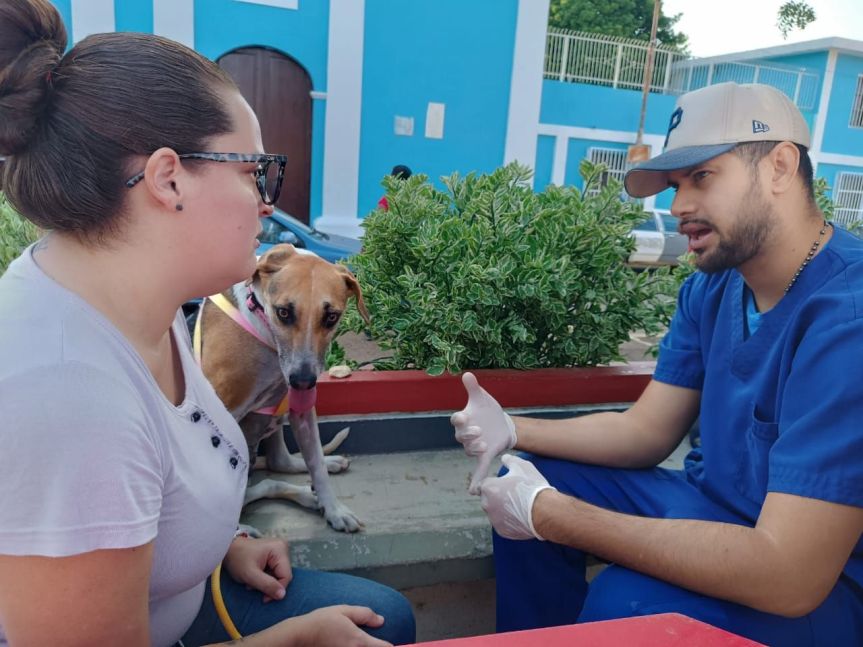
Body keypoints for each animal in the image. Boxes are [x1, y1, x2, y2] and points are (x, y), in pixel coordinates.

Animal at [195, 244, 370, 532]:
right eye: (284, 312)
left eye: (331, 317)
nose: (303, 381)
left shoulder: (302, 411)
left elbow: (316, 464)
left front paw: (333, 509)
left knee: (278, 465)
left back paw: (317, 483)